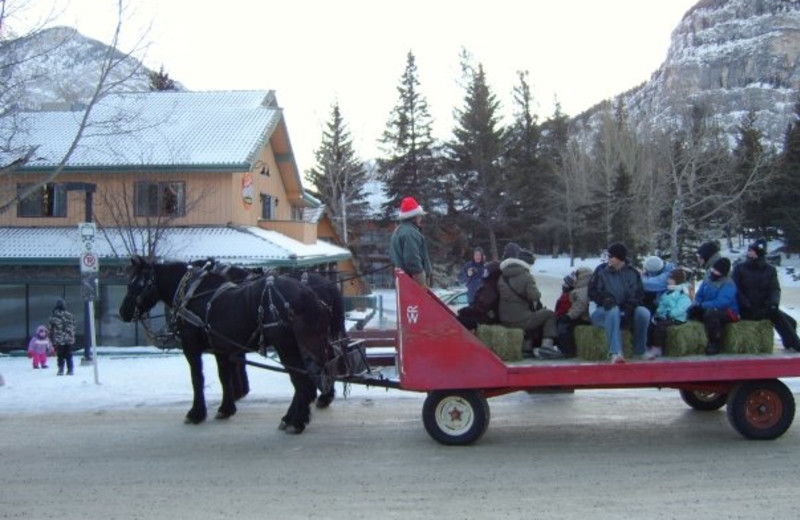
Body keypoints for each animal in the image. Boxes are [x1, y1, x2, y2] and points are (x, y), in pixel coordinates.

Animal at [119, 256, 332, 434]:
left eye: (138, 284)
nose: (123, 312)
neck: (193, 295)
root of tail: (309, 294)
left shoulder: (191, 347)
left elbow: (197, 379)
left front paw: (196, 413)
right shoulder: (221, 348)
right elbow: (224, 377)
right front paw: (226, 408)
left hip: (287, 347)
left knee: (302, 383)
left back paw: (296, 422)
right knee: (305, 382)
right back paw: (294, 417)